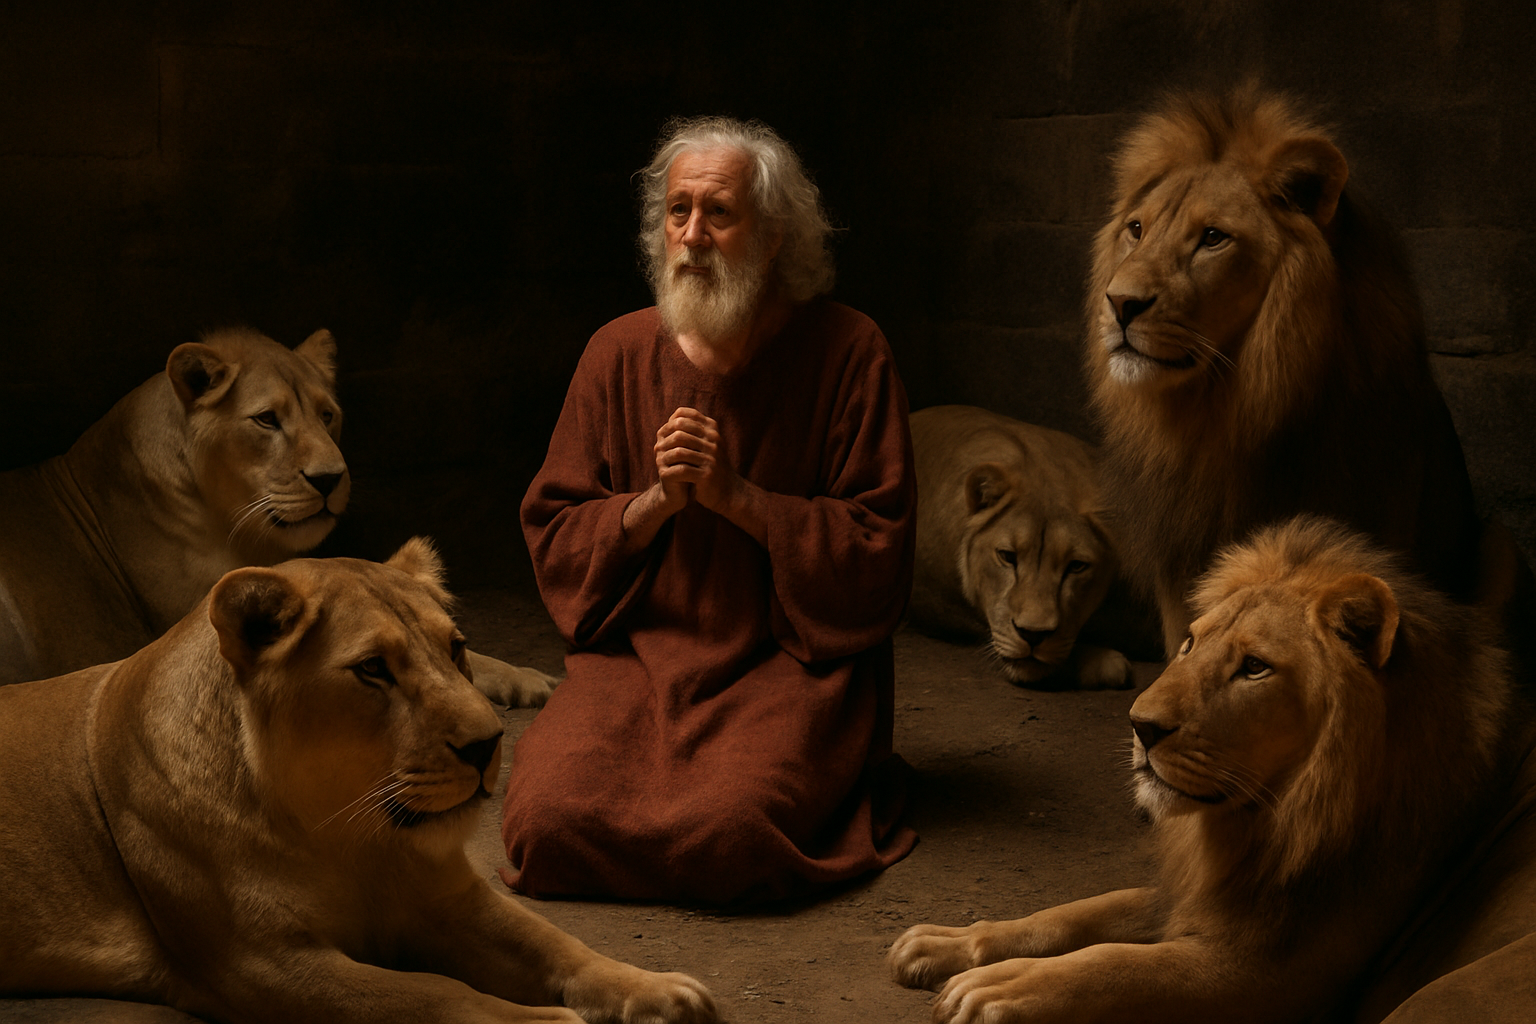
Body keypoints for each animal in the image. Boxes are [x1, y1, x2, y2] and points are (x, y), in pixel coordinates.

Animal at [0, 538, 716, 1024]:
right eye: (373, 669)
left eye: (456, 648)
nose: (488, 744)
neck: (345, 831)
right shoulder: (261, 964)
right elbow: (438, 997)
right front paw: (550, 1021)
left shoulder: (447, 898)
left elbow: (557, 942)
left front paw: (657, 989)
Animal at [889, 516, 1520, 1023]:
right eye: (1190, 643)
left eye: (1255, 668)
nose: (1140, 725)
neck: (1270, 823)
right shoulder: (1192, 895)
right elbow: (1072, 914)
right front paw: (943, 942)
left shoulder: (1264, 978)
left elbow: (1113, 963)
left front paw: (1000, 987)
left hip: (1444, 995)